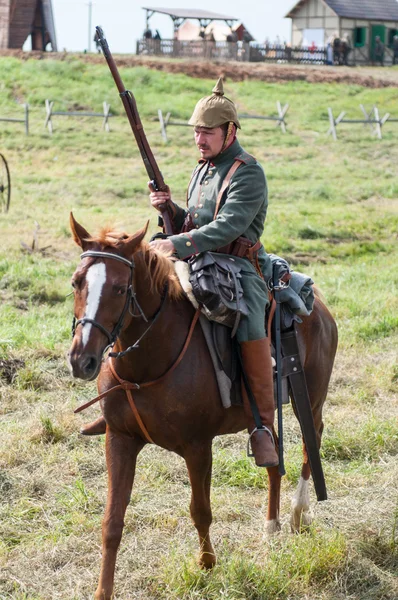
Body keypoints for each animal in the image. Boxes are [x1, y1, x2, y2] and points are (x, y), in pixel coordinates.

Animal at [67, 216, 336, 600]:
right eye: (77, 282)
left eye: (119, 288)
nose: (82, 360)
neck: (147, 364)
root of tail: (320, 307)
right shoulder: (119, 440)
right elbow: (112, 521)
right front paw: (103, 590)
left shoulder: (197, 447)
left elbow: (200, 510)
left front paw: (207, 564)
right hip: (265, 413)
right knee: (273, 456)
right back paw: (271, 525)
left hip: (310, 402)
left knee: (308, 444)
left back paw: (298, 513)